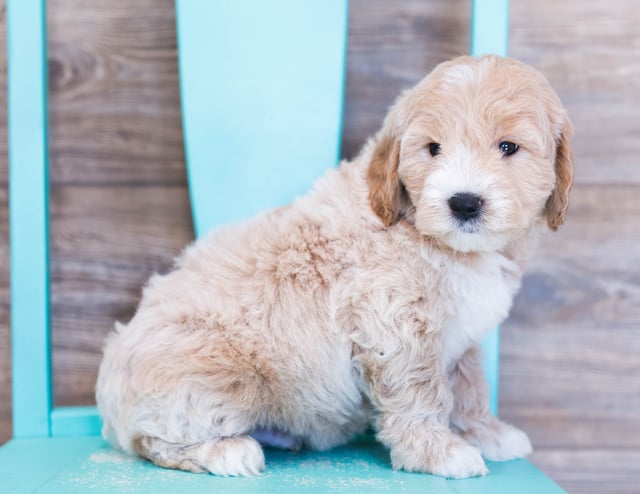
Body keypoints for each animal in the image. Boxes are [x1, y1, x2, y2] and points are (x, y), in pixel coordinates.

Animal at [96, 55, 576, 478]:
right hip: (217, 382)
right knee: (150, 442)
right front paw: (439, 453)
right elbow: (420, 393)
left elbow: (470, 386)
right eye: (433, 149)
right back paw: (226, 451)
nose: (464, 202)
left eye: (508, 148)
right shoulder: (393, 325)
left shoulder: (463, 337)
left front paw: (488, 433)